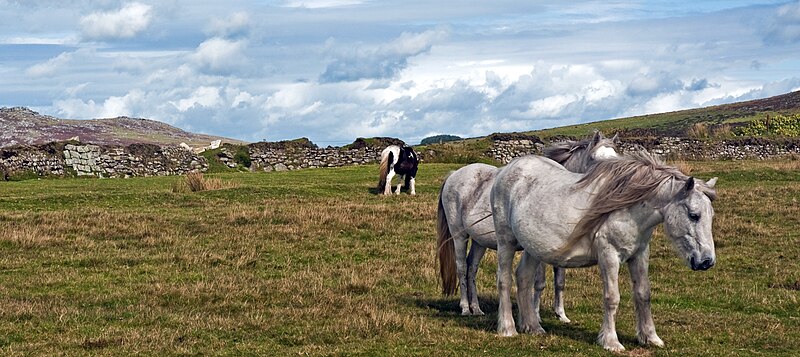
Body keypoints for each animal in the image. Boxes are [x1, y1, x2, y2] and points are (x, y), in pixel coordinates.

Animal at [438, 131, 620, 318]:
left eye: (616, 156)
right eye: (594, 158)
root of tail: (453, 175)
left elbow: (560, 281)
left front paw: (561, 314)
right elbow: (539, 282)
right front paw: (536, 313)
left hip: (479, 241)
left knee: (471, 268)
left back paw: (476, 308)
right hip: (459, 235)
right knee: (461, 267)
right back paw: (465, 308)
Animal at [494, 149, 720, 350]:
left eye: (710, 215)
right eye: (694, 215)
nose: (707, 261)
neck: (626, 209)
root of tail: (507, 171)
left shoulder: (639, 255)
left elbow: (643, 294)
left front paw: (650, 337)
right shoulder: (609, 256)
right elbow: (612, 298)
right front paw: (611, 342)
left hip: (533, 249)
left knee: (523, 278)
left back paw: (532, 326)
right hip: (506, 242)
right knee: (504, 280)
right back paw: (508, 328)